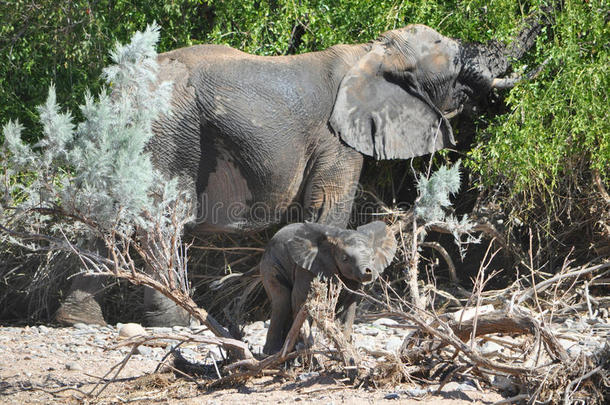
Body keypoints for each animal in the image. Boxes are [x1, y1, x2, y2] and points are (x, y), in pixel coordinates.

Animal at [57, 22, 540, 326]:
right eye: (448, 53)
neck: (372, 51)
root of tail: (119, 89)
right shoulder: (336, 137)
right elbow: (330, 205)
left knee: (106, 212)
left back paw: (77, 320)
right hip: (170, 133)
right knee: (160, 218)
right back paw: (176, 321)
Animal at [260, 221, 394, 354]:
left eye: (373, 258)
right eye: (345, 259)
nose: (367, 271)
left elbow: (350, 303)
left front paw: (344, 342)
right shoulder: (307, 266)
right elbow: (300, 298)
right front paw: (305, 345)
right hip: (270, 264)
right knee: (281, 302)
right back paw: (273, 352)